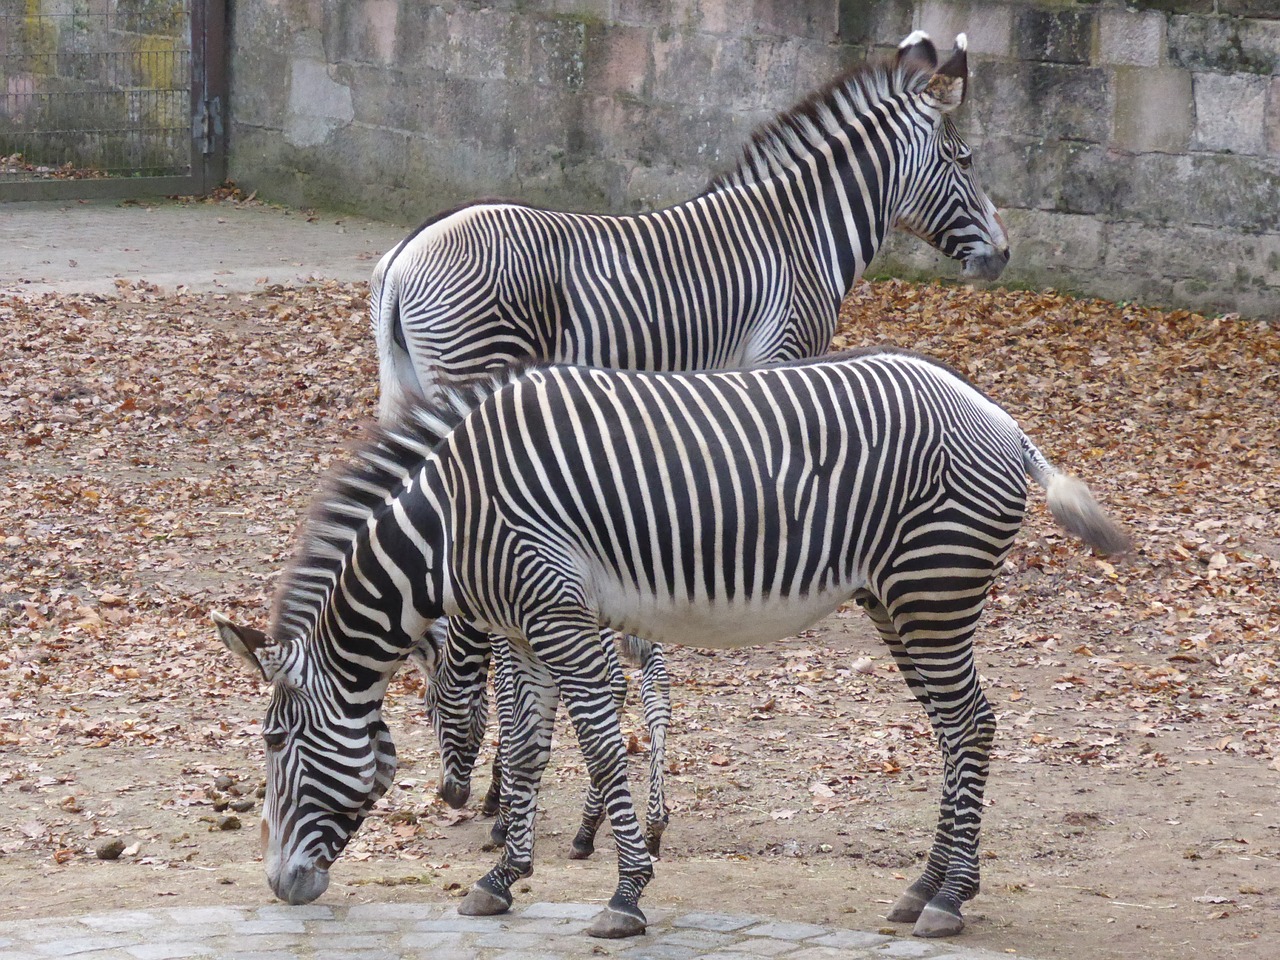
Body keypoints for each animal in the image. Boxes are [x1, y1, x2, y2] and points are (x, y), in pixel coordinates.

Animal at [212, 348, 1131, 942]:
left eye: (276, 742)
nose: (280, 889)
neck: (452, 520)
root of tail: (1003, 421)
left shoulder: (560, 617)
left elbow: (599, 745)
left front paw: (624, 894)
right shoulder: (526, 632)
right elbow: (530, 750)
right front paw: (501, 880)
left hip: (932, 589)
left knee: (971, 723)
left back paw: (952, 900)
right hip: (897, 600)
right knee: (952, 727)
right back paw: (922, 887)